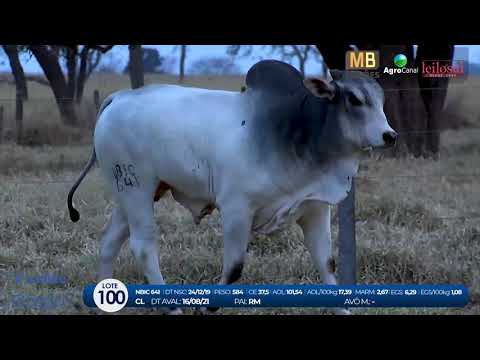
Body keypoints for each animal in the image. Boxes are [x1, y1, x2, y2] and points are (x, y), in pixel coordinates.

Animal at [67, 59, 398, 316]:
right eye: (354, 99)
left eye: (381, 100)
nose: (389, 135)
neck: (296, 130)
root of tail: (120, 97)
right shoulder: (237, 208)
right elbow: (235, 266)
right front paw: (207, 306)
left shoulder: (314, 209)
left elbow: (327, 265)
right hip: (136, 190)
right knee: (143, 246)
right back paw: (172, 307)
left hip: (131, 195)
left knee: (109, 241)